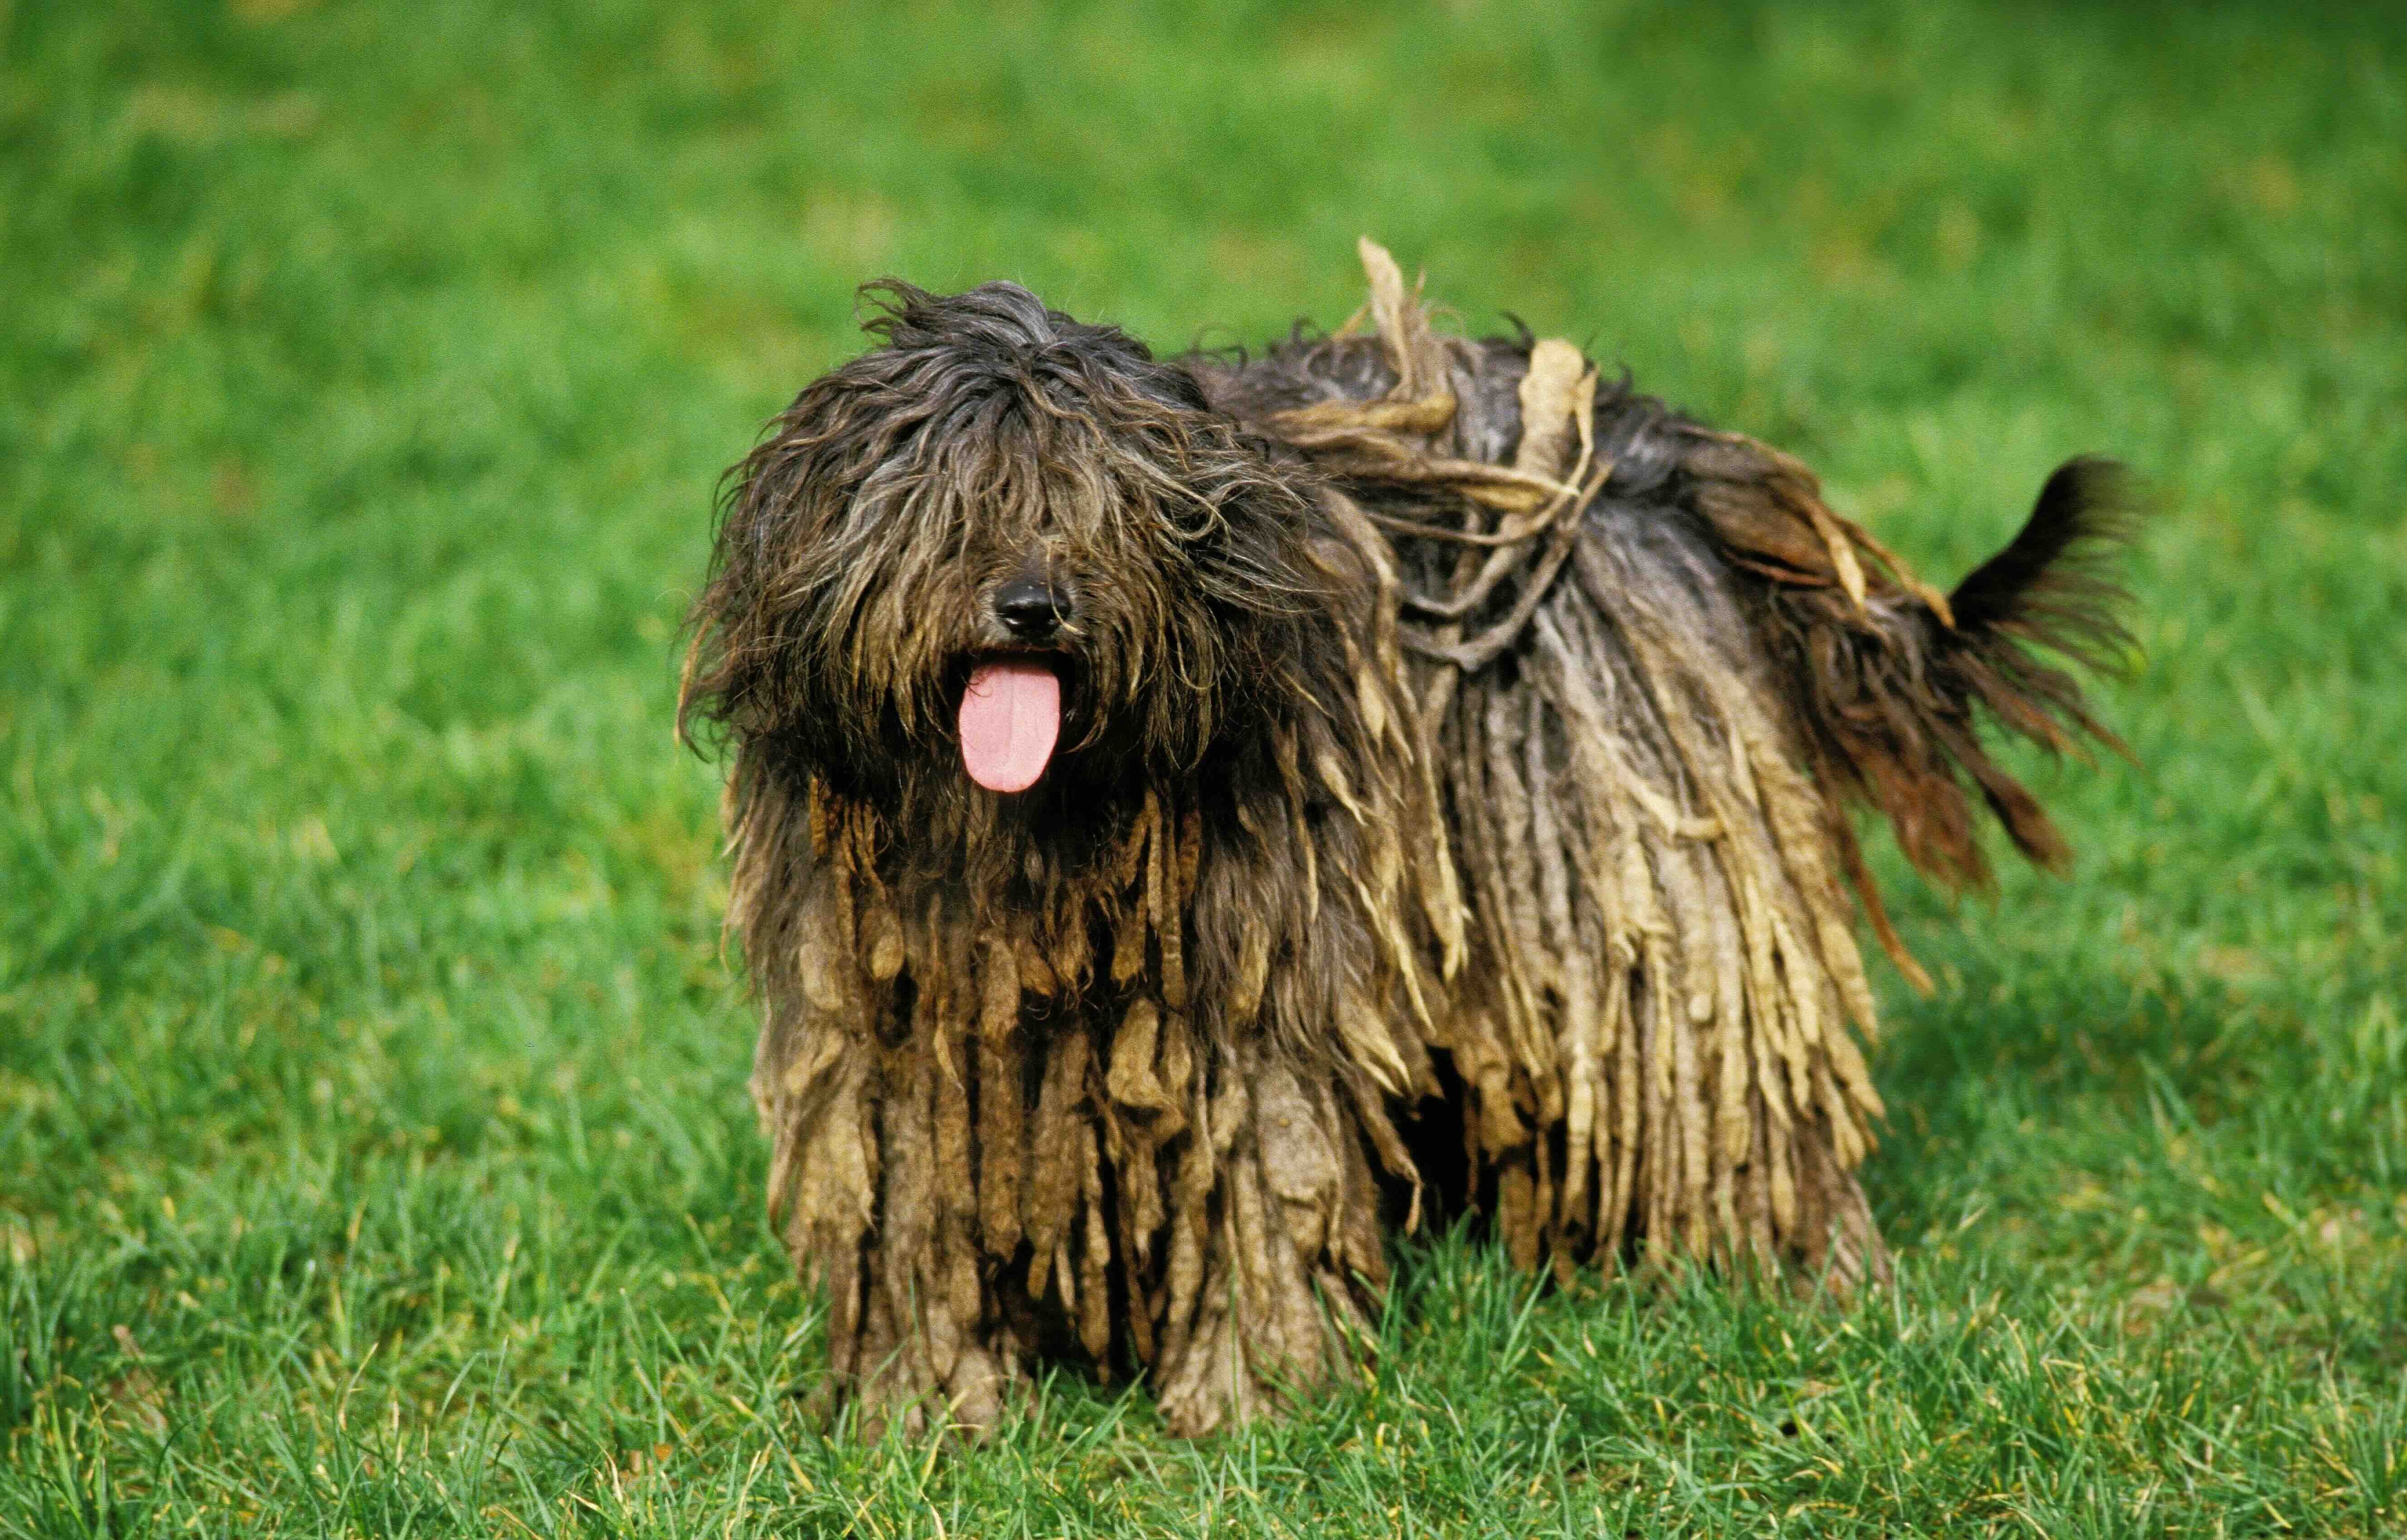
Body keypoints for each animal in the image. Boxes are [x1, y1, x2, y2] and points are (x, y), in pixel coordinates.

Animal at [679, 238, 2128, 1434]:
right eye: (953, 505)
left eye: (1101, 507)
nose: (1033, 604)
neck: (1043, 830)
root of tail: (1657, 454)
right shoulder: (895, 1017)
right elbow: (907, 1192)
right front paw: (927, 1406)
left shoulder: (1248, 987)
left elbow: (1259, 1170)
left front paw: (1248, 1400)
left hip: (1637, 856)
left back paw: (1777, 1279)